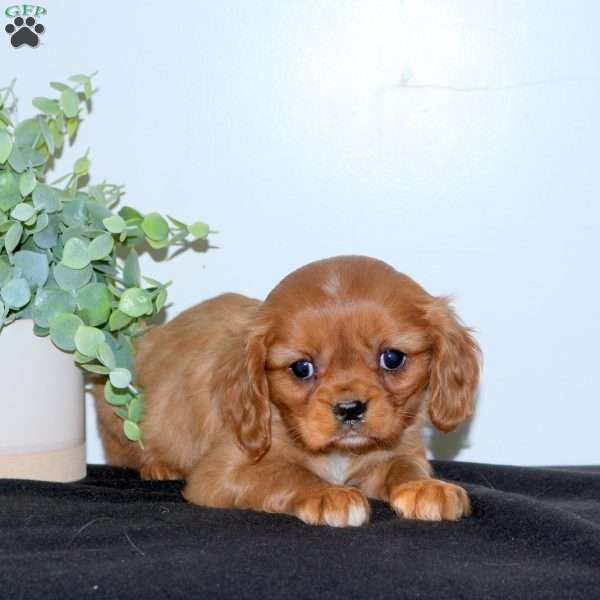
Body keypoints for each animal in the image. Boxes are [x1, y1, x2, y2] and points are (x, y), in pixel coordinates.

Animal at [96, 255, 480, 528]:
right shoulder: (222, 473)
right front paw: (328, 494)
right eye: (301, 368)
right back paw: (159, 466)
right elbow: (288, 473)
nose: (350, 408)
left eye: (392, 358)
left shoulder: (396, 450)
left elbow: (404, 466)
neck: (340, 454)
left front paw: (425, 487)